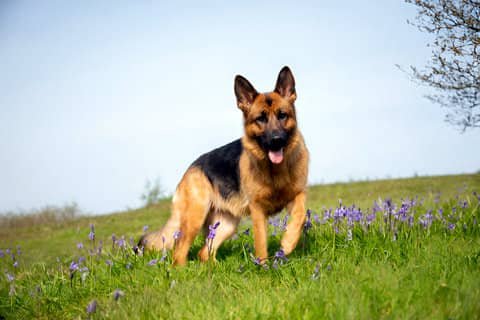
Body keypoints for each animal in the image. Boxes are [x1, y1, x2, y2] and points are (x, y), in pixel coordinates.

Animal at [141, 65, 310, 264]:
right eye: (260, 119)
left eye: (282, 115)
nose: (276, 140)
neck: (275, 169)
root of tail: (190, 168)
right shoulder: (258, 210)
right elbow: (261, 242)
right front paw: (263, 265)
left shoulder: (297, 195)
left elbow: (300, 216)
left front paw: (288, 243)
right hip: (195, 218)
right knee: (179, 252)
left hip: (225, 225)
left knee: (204, 253)